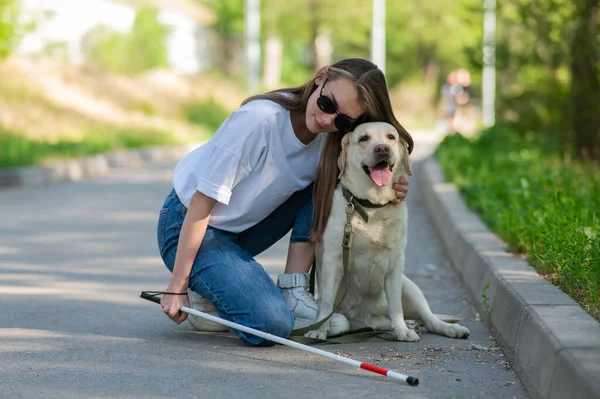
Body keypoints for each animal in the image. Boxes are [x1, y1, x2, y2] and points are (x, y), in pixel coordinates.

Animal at [308, 122, 472, 340]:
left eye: (391, 137)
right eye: (364, 138)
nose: (382, 149)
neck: (371, 206)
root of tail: (368, 320)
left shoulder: (395, 262)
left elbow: (396, 305)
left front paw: (402, 331)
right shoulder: (332, 260)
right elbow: (326, 301)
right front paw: (319, 330)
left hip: (409, 287)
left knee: (428, 318)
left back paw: (441, 328)